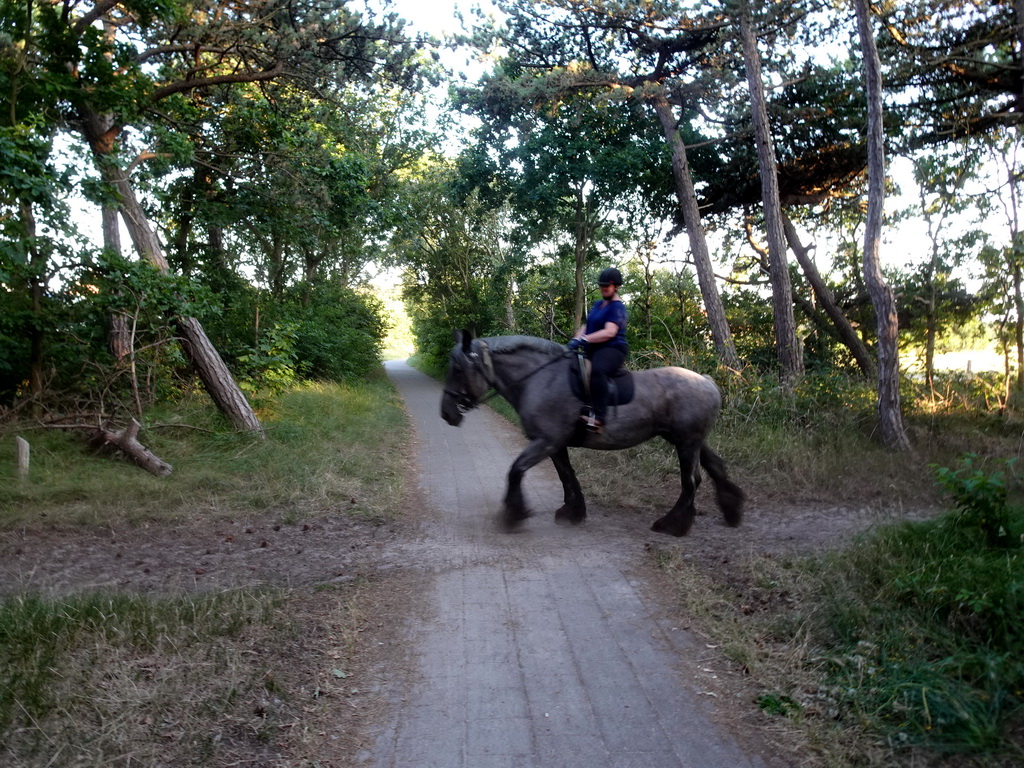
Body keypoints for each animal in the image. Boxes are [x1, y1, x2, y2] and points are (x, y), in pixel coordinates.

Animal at [440, 329, 745, 536]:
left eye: (458, 369)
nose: (446, 414)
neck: (540, 380)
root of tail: (706, 381)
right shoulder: (555, 444)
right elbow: (567, 476)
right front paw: (572, 512)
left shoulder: (546, 442)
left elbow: (516, 470)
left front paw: (514, 514)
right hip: (687, 440)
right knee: (714, 467)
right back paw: (731, 509)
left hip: (686, 443)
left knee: (691, 481)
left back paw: (673, 525)